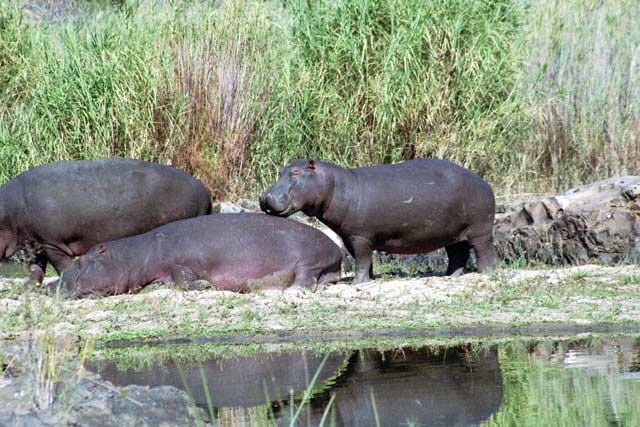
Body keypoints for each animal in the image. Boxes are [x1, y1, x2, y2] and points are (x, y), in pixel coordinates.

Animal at [0, 157, 212, 283]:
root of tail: (204, 190)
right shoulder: (33, 242)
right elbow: (35, 268)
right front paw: (29, 288)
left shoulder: (51, 243)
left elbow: (61, 265)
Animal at [56, 213, 342, 297]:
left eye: (81, 261)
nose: (52, 284)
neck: (135, 254)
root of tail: (337, 250)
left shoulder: (180, 263)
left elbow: (184, 279)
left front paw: (204, 285)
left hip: (309, 260)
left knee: (306, 279)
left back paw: (291, 290)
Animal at [260, 158, 495, 283]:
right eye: (281, 171)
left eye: (295, 172)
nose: (264, 196)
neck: (333, 185)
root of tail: (483, 181)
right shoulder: (350, 236)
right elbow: (363, 259)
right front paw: (369, 278)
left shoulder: (361, 236)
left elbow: (362, 258)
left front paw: (357, 282)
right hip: (453, 233)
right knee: (458, 254)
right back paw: (449, 276)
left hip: (480, 230)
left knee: (483, 251)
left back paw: (485, 272)